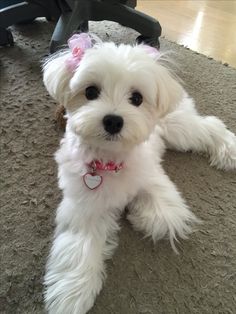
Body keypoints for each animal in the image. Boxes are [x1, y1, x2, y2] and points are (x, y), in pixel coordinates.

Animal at [42, 33, 236, 314]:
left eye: (137, 98)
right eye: (90, 92)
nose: (113, 121)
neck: (110, 161)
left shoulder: (151, 175)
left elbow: (165, 215)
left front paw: (143, 214)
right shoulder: (84, 206)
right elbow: (79, 246)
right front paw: (73, 293)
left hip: (178, 128)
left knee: (209, 126)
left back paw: (228, 149)